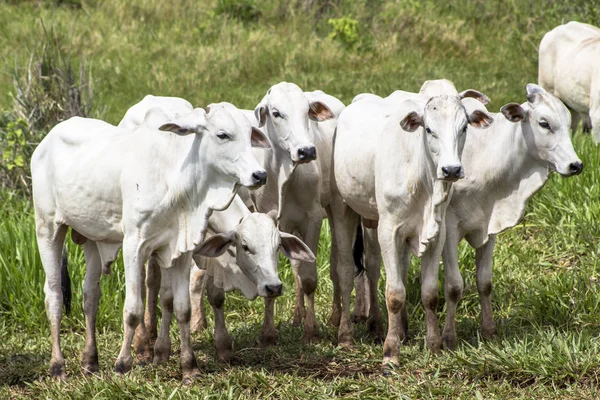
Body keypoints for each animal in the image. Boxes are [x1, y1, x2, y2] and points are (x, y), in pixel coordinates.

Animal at [30, 101, 270, 380]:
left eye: (249, 134)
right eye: (223, 135)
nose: (260, 175)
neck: (175, 180)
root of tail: (47, 139)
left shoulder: (180, 250)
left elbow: (182, 309)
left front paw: (189, 367)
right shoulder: (134, 246)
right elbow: (133, 310)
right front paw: (123, 364)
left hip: (92, 237)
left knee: (90, 296)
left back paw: (90, 361)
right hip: (47, 228)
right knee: (54, 296)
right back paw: (58, 366)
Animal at [240, 83, 342, 342]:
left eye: (307, 111)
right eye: (276, 113)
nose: (306, 151)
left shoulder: (313, 218)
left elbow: (308, 278)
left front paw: (312, 329)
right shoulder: (272, 219)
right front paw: (268, 332)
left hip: (335, 207)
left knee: (338, 263)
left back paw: (335, 317)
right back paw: (297, 316)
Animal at [330, 89, 494, 368]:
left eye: (464, 127)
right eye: (428, 129)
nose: (451, 169)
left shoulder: (437, 234)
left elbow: (430, 294)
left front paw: (434, 346)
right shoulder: (389, 230)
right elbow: (395, 294)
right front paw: (390, 354)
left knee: (374, 267)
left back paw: (385, 327)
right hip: (344, 211)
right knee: (346, 272)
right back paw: (346, 337)